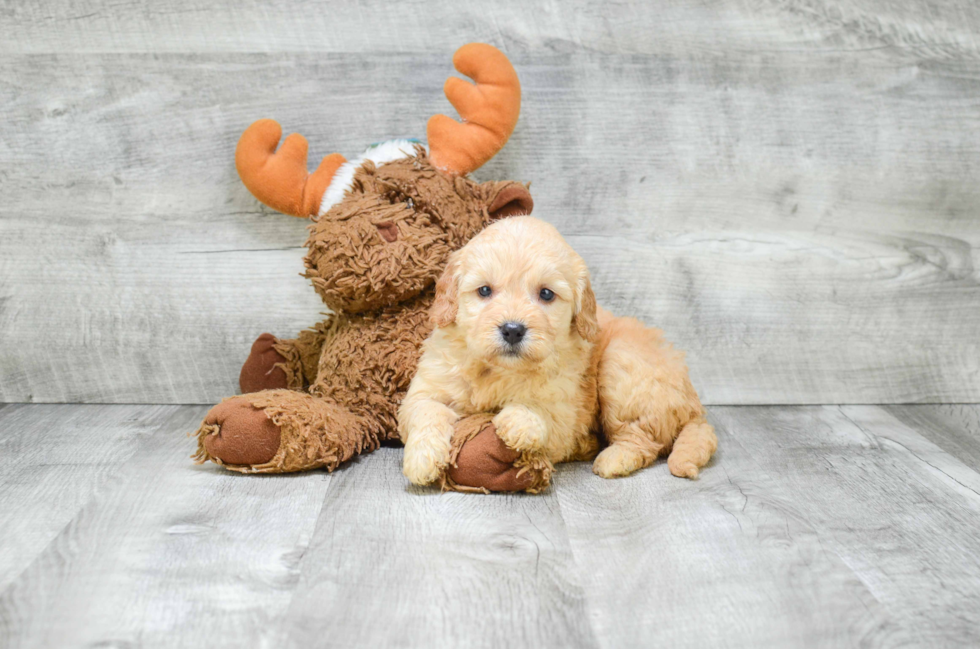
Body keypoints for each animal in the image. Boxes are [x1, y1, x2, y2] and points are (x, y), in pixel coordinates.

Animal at [396, 218, 596, 486]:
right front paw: (423, 458)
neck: (496, 369)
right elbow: (427, 409)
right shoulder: (425, 389)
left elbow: (544, 407)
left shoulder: (565, 411)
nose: (512, 330)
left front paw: (520, 420)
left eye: (546, 293)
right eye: (484, 291)